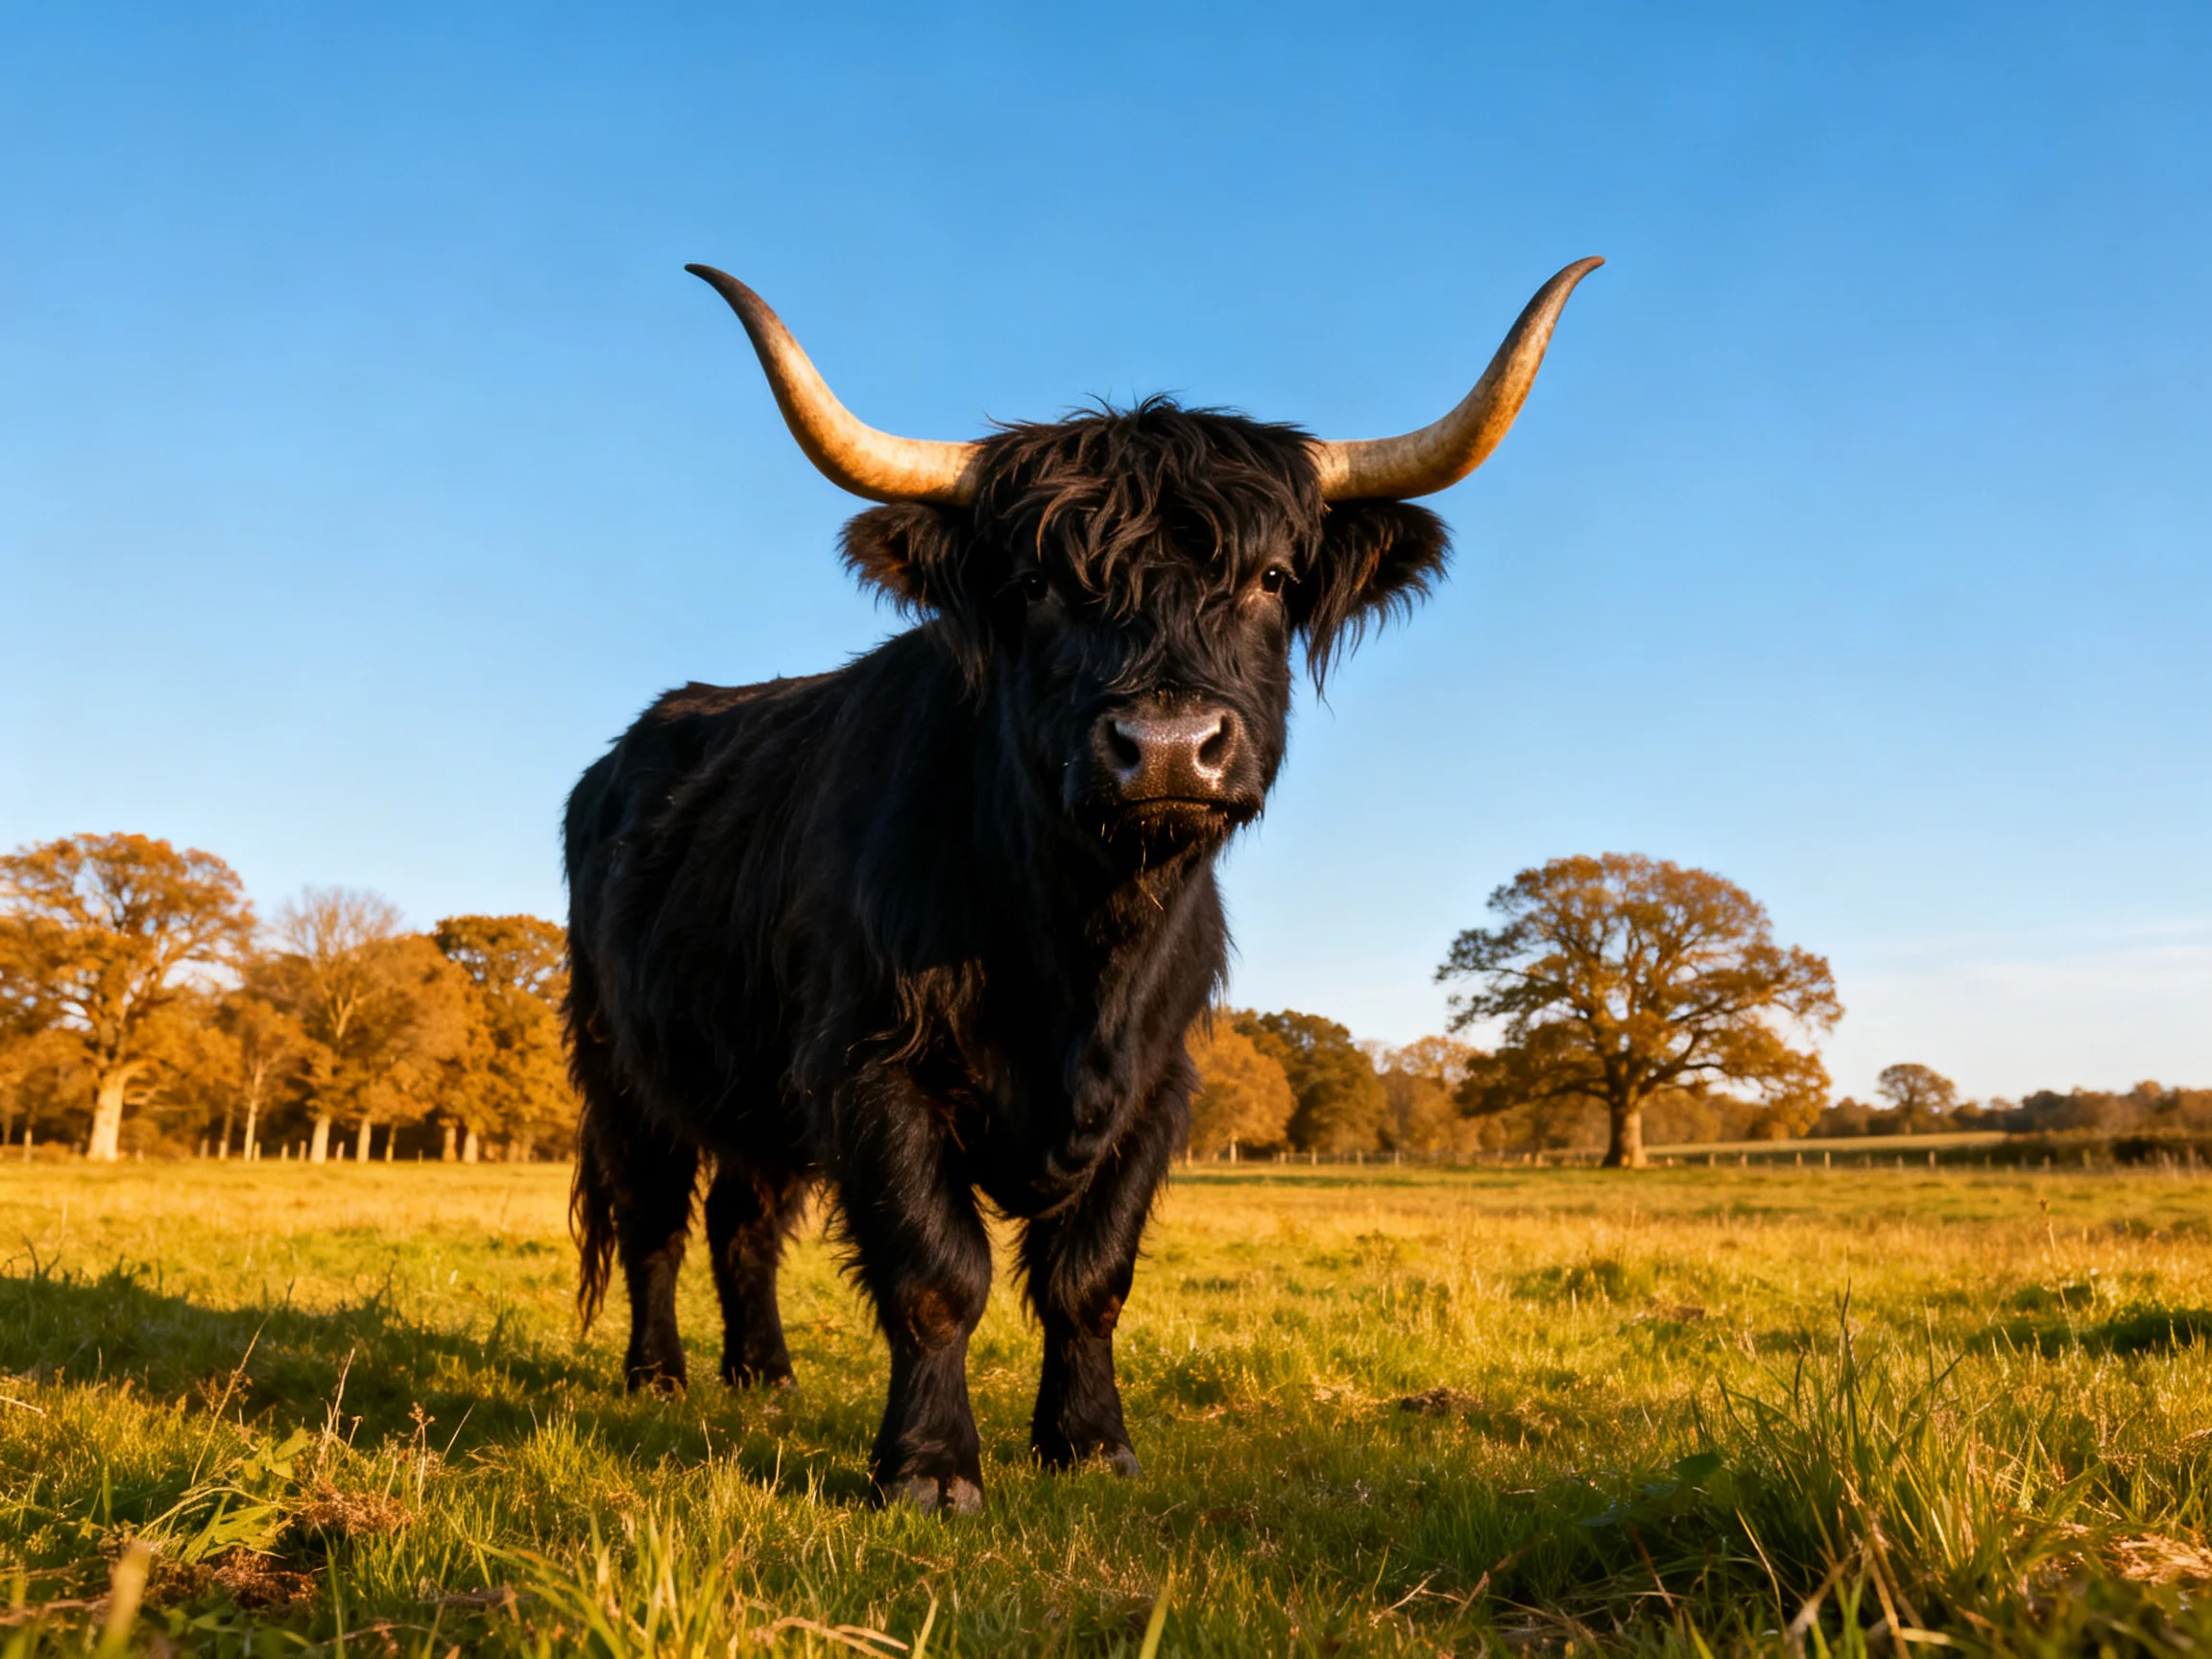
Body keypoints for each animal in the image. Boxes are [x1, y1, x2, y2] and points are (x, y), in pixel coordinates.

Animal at [564, 257, 1600, 1512]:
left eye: (1270, 578)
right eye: (1037, 587)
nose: (1167, 747)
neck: (1079, 949)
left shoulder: (1156, 1087)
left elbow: (1091, 1276)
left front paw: (1091, 1441)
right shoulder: (872, 1066)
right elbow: (936, 1272)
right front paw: (929, 1470)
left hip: (755, 1088)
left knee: (744, 1216)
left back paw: (764, 1376)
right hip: (624, 1065)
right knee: (656, 1217)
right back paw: (660, 1377)